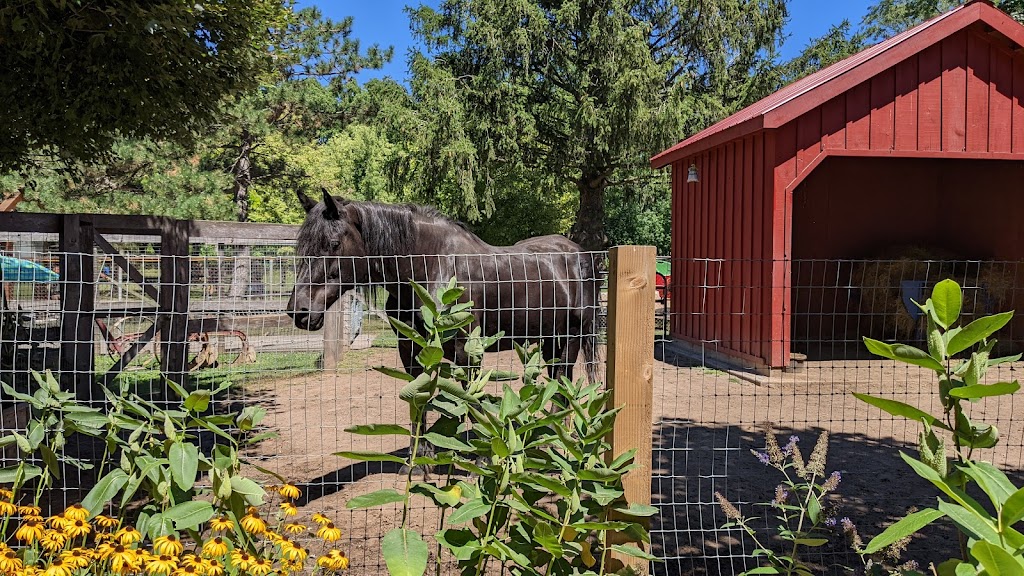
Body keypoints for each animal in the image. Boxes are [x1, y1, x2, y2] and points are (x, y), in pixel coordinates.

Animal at [286, 188, 598, 381]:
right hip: (549, 342)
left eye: (333, 244)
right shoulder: (411, 353)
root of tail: (581, 255)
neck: (431, 266)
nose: (298, 311)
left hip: (570, 340)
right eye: (302, 246)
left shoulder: (467, 354)